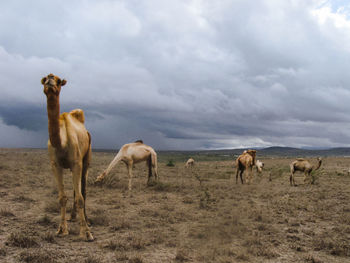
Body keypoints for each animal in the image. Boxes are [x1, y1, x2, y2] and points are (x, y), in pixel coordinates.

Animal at [41, 73, 93, 242]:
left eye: (58, 80)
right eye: (44, 79)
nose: (50, 80)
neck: (61, 142)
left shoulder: (76, 163)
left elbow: (80, 197)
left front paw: (86, 233)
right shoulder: (55, 164)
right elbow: (62, 197)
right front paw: (62, 229)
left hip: (86, 159)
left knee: (83, 189)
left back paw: (87, 219)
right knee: (76, 191)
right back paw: (73, 216)